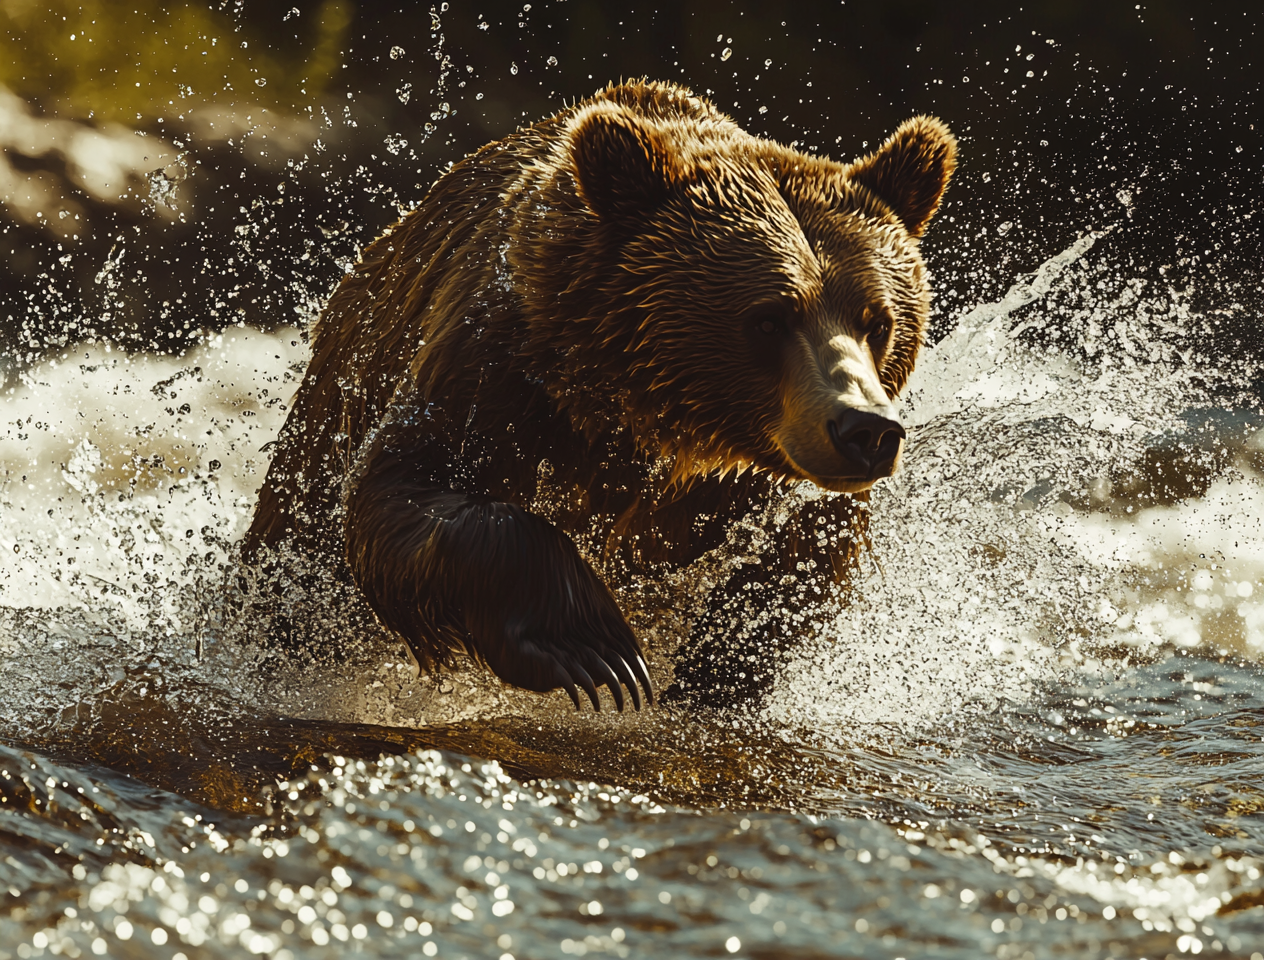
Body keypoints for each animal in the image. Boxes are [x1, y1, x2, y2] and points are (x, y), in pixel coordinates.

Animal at [238, 78, 955, 713]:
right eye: (770, 318)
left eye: (878, 320)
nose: (865, 429)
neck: (650, 415)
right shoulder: (498, 369)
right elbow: (397, 491)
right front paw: (591, 645)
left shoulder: (744, 480)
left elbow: (808, 546)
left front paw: (721, 661)